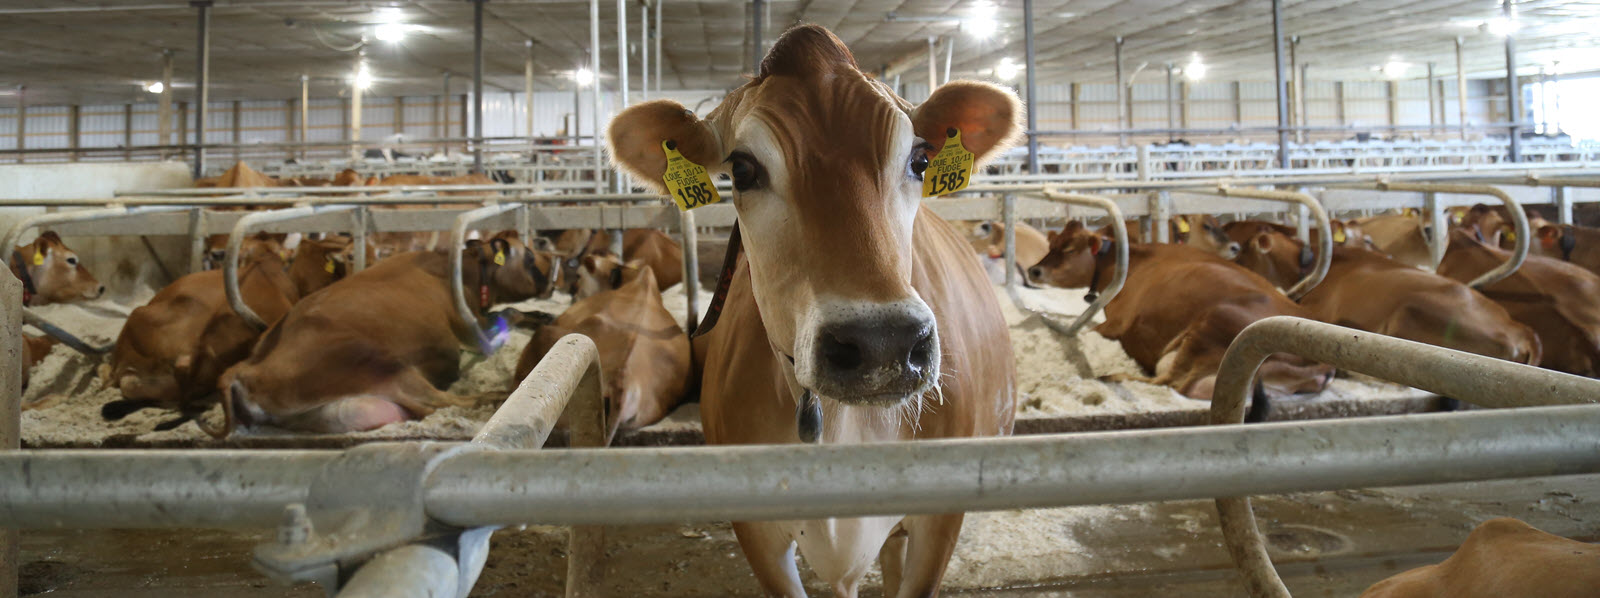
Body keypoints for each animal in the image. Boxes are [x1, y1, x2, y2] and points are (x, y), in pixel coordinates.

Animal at [214, 234, 558, 435]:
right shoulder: (472, 331)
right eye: (528, 256)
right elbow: (507, 313)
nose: (552, 279)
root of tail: (247, 368)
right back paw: (498, 396)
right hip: (380, 363)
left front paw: (543, 315)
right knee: (443, 402)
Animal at [1027, 221, 1334, 402]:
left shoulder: (1116, 323)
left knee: (1171, 382)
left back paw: (1111, 377)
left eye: (1068, 248)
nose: (1033, 270)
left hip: (1214, 321)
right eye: (1052, 244)